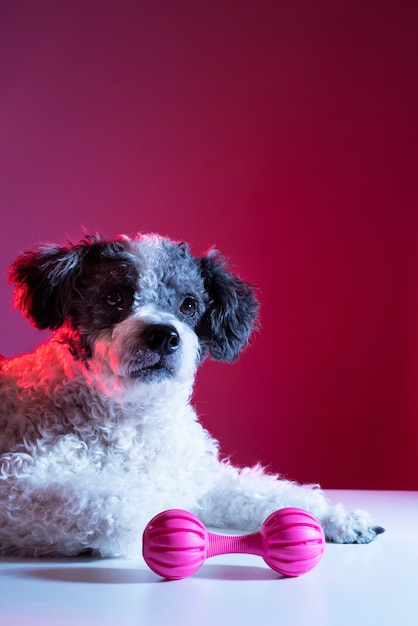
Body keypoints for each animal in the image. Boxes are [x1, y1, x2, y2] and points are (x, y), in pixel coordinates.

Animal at [0, 232, 384, 552]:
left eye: (188, 305)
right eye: (114, 297)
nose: (162, 335)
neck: (134, 420)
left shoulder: (201, 479)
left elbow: (264, 490)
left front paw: (335, 518)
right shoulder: (20, 484)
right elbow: (119, 505)